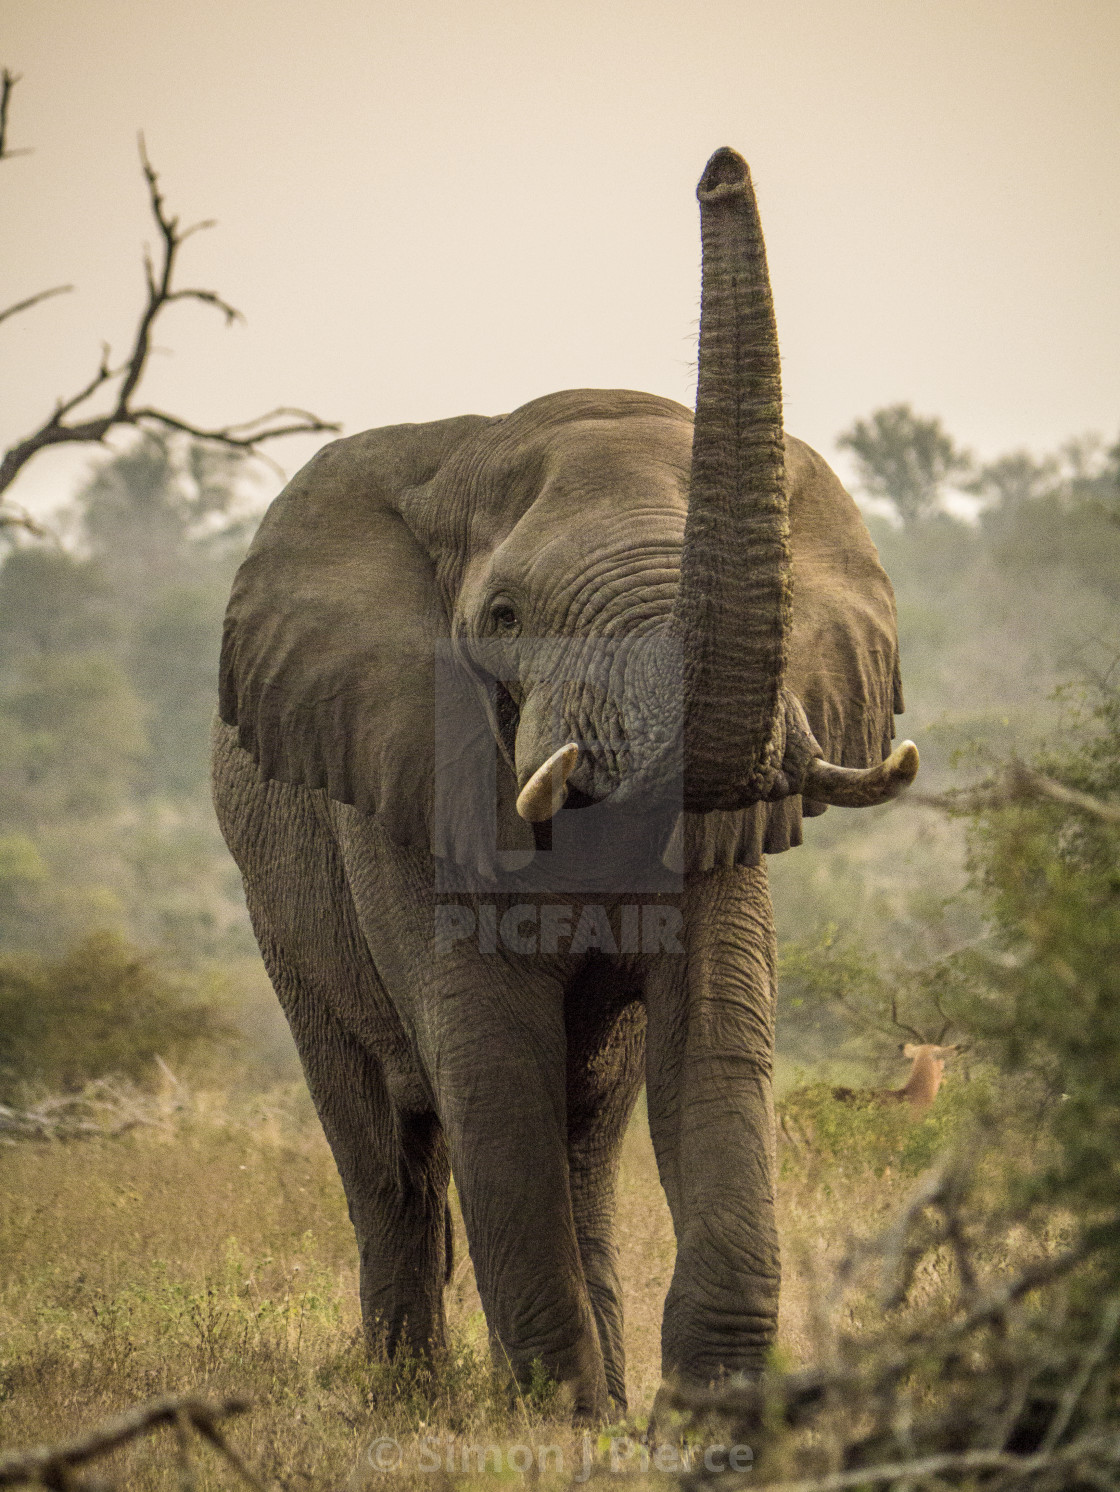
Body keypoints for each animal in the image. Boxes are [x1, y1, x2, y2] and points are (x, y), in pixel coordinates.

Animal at [211, 148, 918, 1420]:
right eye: (502, 618)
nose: (720, 169)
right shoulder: (408, 777)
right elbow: (493, 1069)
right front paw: (561, 1420)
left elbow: (715, 1034)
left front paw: (705, 1410)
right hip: (279, 910)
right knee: (385, 1148)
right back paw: (411, 1396)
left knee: (587, 1133)